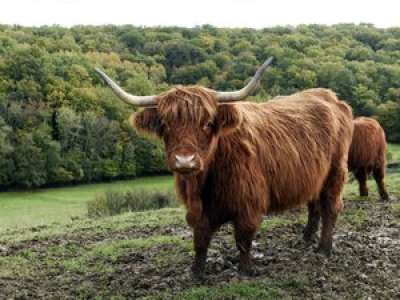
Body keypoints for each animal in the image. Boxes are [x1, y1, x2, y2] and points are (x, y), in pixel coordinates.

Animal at [96, 59, 354, 278]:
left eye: (208, 123)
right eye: (165, 125)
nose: (185, 161)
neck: (204, 182)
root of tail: (330, 96)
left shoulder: (249, 203)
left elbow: (243, 238)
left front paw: (245, 270)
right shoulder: (196, 210)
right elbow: (200, 239)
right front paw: (196, 273)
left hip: (335, 172)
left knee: (331, 206)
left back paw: (323, 248)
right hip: (314, 175)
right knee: (314, 205)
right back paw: (306, 238)